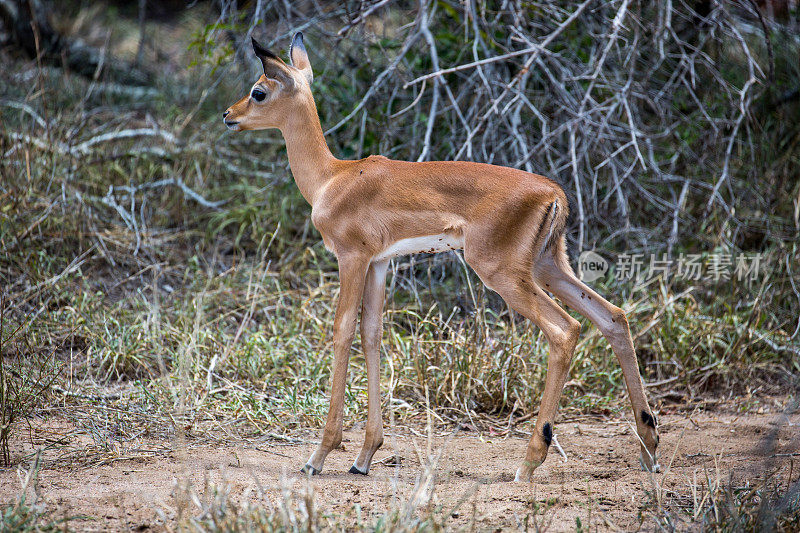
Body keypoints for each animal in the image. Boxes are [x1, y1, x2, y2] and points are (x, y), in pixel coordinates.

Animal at [222, 34, 660, 482]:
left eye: (259, 91)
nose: (228, 116)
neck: (333, 179)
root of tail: (553, 193)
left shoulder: (352, 257)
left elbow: (343, 331)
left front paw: (319, 455)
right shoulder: (379, 263)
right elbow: (372, 333)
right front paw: (364, 457)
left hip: (503, 273)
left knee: (565, 329)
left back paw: (529, 462)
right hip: (549, 266)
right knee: (613, 317)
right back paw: (648, 448)